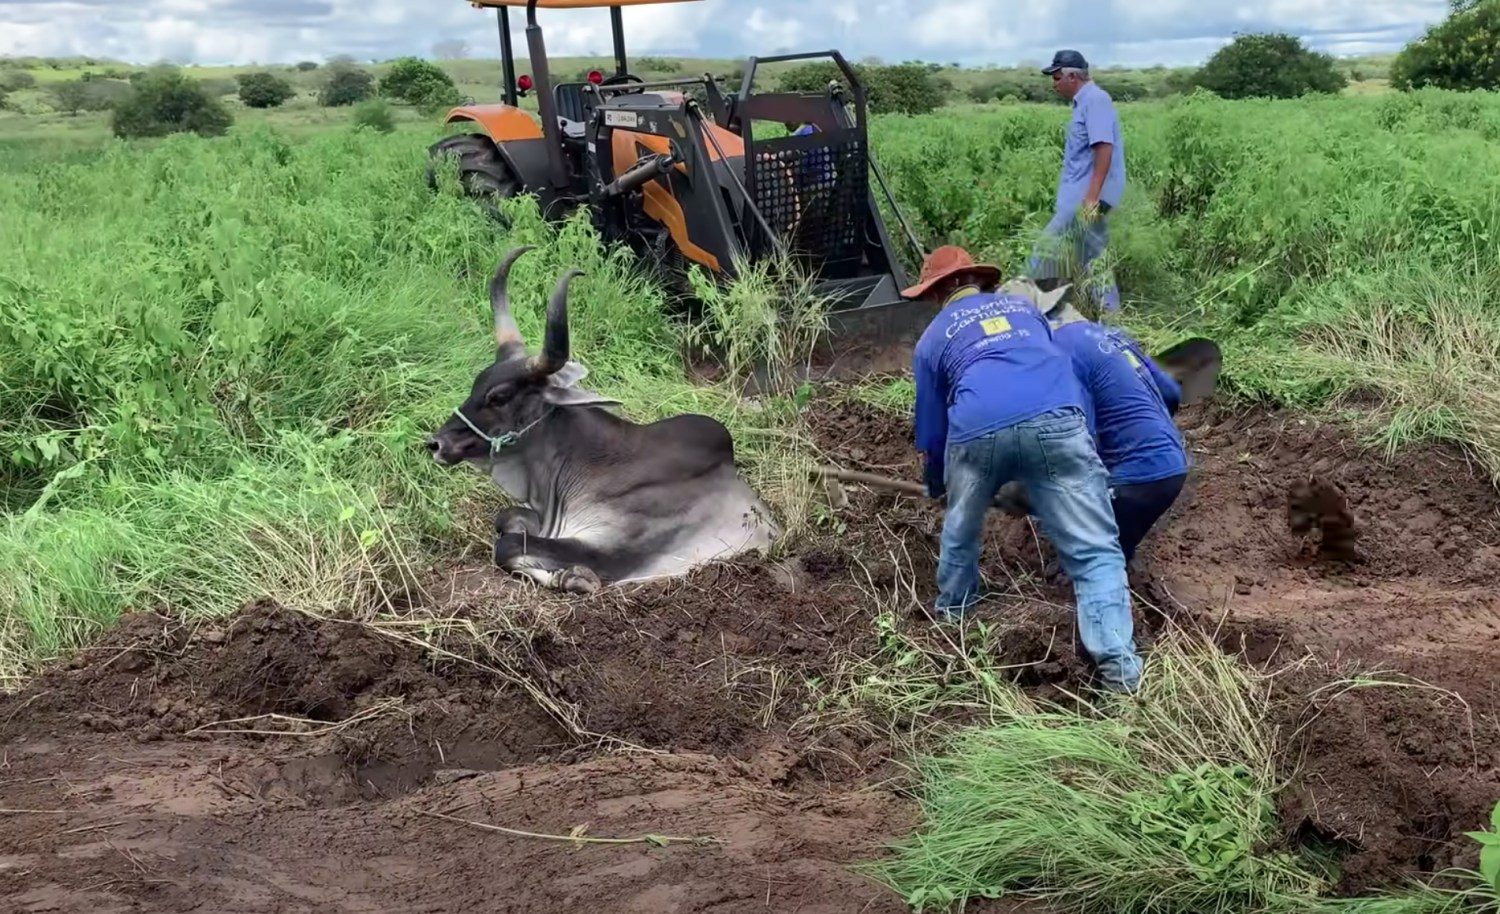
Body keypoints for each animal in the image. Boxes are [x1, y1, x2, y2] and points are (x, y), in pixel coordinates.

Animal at [423, 244, 774, 591]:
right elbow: (506, 518)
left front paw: (573, 577)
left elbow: (506, 545)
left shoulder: (612, 550)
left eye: (499, 397)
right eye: (477, 384)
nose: (436, 444)